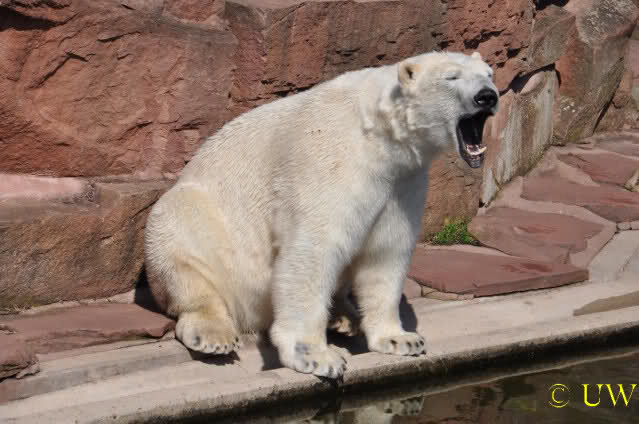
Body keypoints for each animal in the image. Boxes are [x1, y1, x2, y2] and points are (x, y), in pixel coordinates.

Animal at [144, 50, 499, 379]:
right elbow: (313, 251)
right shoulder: (331, 161)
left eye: (489, 74)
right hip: (200, 226)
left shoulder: (403, 181)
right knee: (184, 254)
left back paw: (344, 316)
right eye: (451, 77)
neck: (379, 136)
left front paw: (402, 339)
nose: (488, 96)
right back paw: (213, 334)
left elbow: (385, 253)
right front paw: (318, 356)